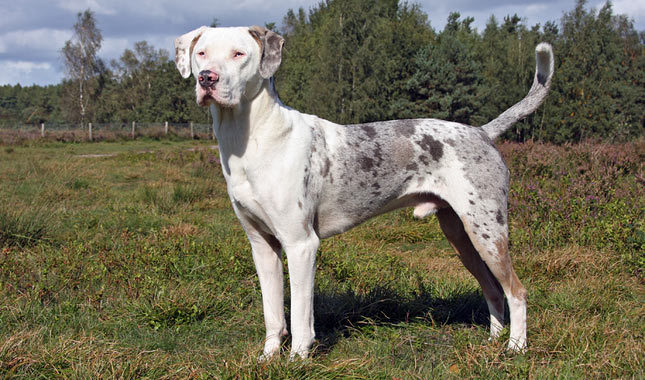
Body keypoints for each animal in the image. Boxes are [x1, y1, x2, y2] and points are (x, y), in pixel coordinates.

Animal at [174, 24, 552, 360]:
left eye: (239, 54)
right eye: (201, 53)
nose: (207, 78)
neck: (249, 139)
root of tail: (483, 132)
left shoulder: (301, 245)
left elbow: (300, 317)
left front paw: (297, 359)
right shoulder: (262, 246)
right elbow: (273, 314)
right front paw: (268, 358)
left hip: (487, 231)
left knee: (516, 291)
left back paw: (516, 348)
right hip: (462, 236)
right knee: (493, 289)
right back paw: (493, 342)